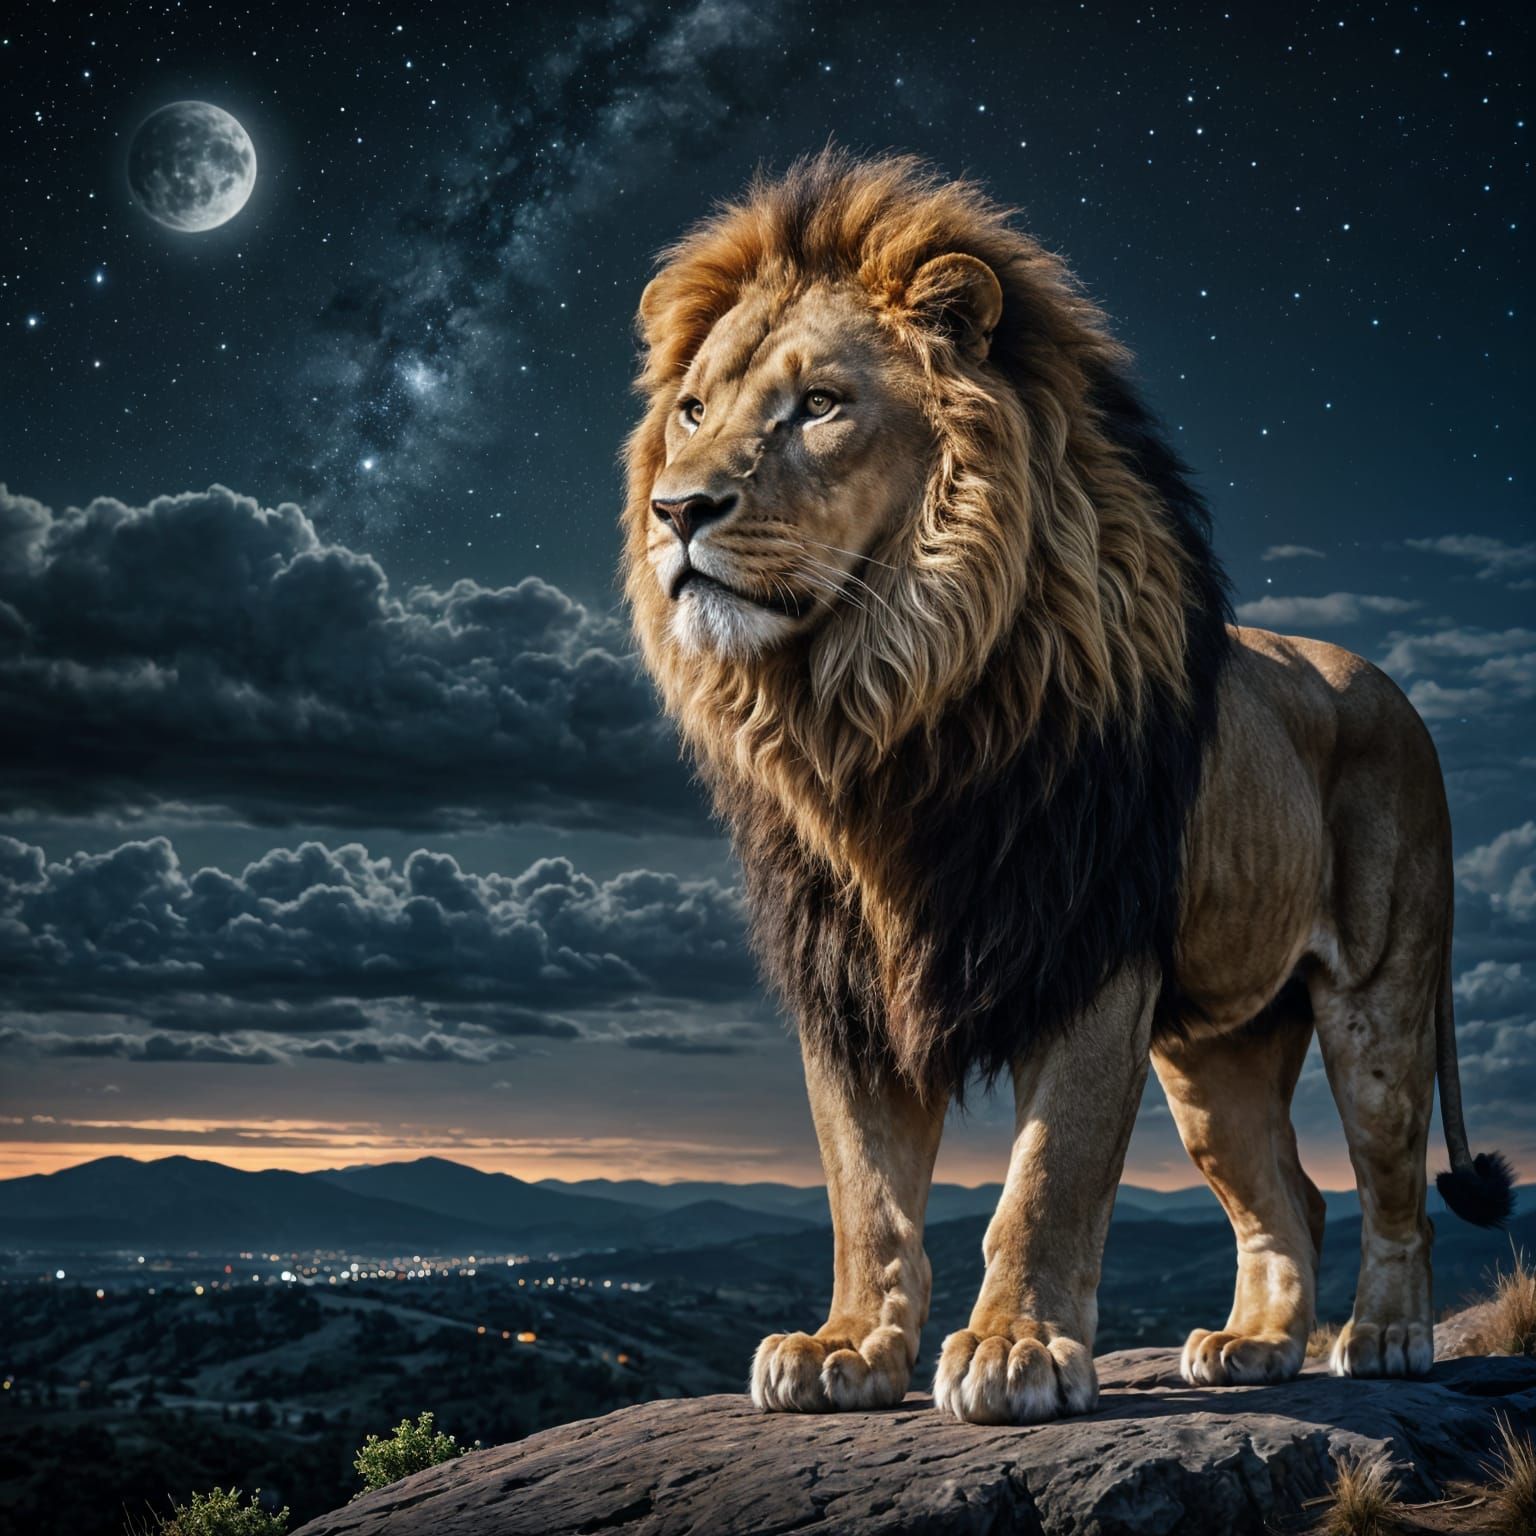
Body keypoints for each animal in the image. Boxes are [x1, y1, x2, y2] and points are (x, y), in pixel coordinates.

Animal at [618, 148, 1513, 1425]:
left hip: (1379, 997)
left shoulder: (1092, 948)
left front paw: (1016, 1351)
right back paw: (1254, 1346)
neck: (883, 704)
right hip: (1217, 1051)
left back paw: (1386, 1338)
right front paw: (848, 1348)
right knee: (1288, 1195)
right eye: (693, 411)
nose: (678, 509)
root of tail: (1387, 685)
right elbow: (864, 1192)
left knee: (1393, 1188)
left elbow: (1051, 1174)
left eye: (821, 405)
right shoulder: (847, 982)